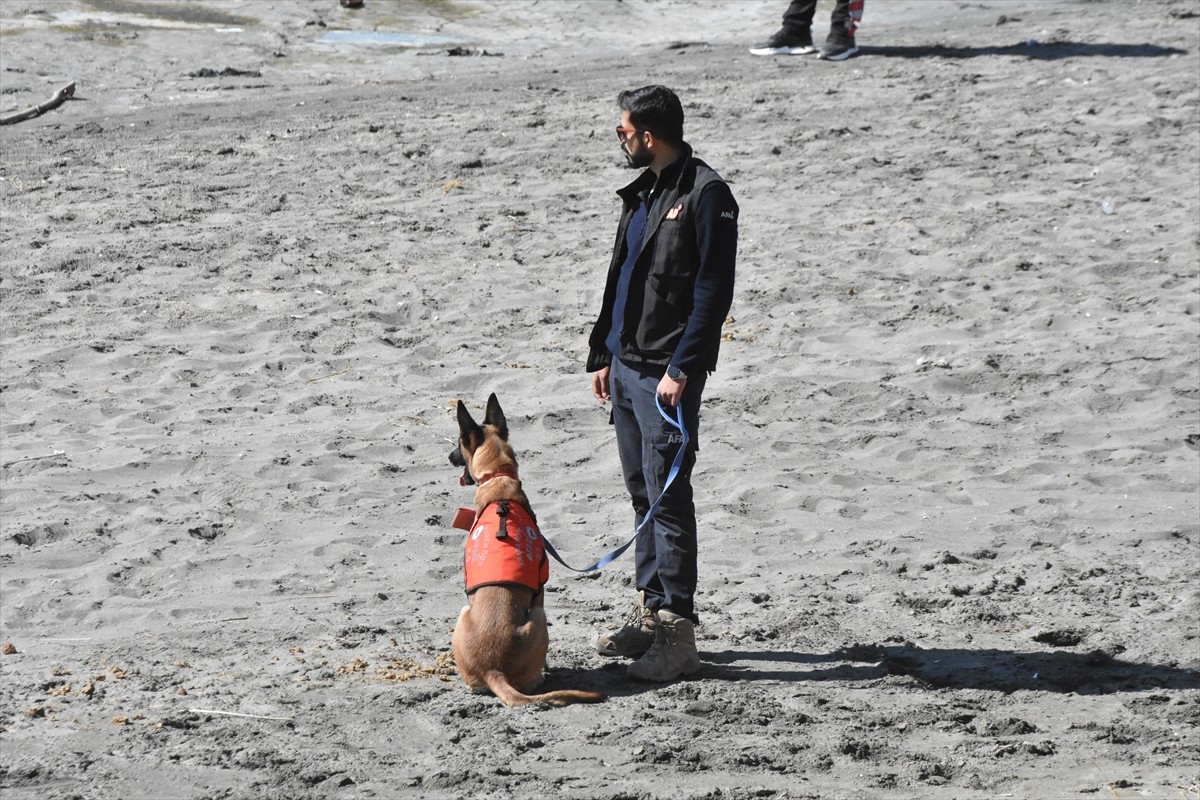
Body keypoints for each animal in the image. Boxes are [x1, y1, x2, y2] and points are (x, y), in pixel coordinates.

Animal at [448, 393, 604, 705]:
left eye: (457, 444)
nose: (448, 456)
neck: (498, 478)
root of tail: (493, 670)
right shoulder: (540, 590)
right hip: (534, 616)